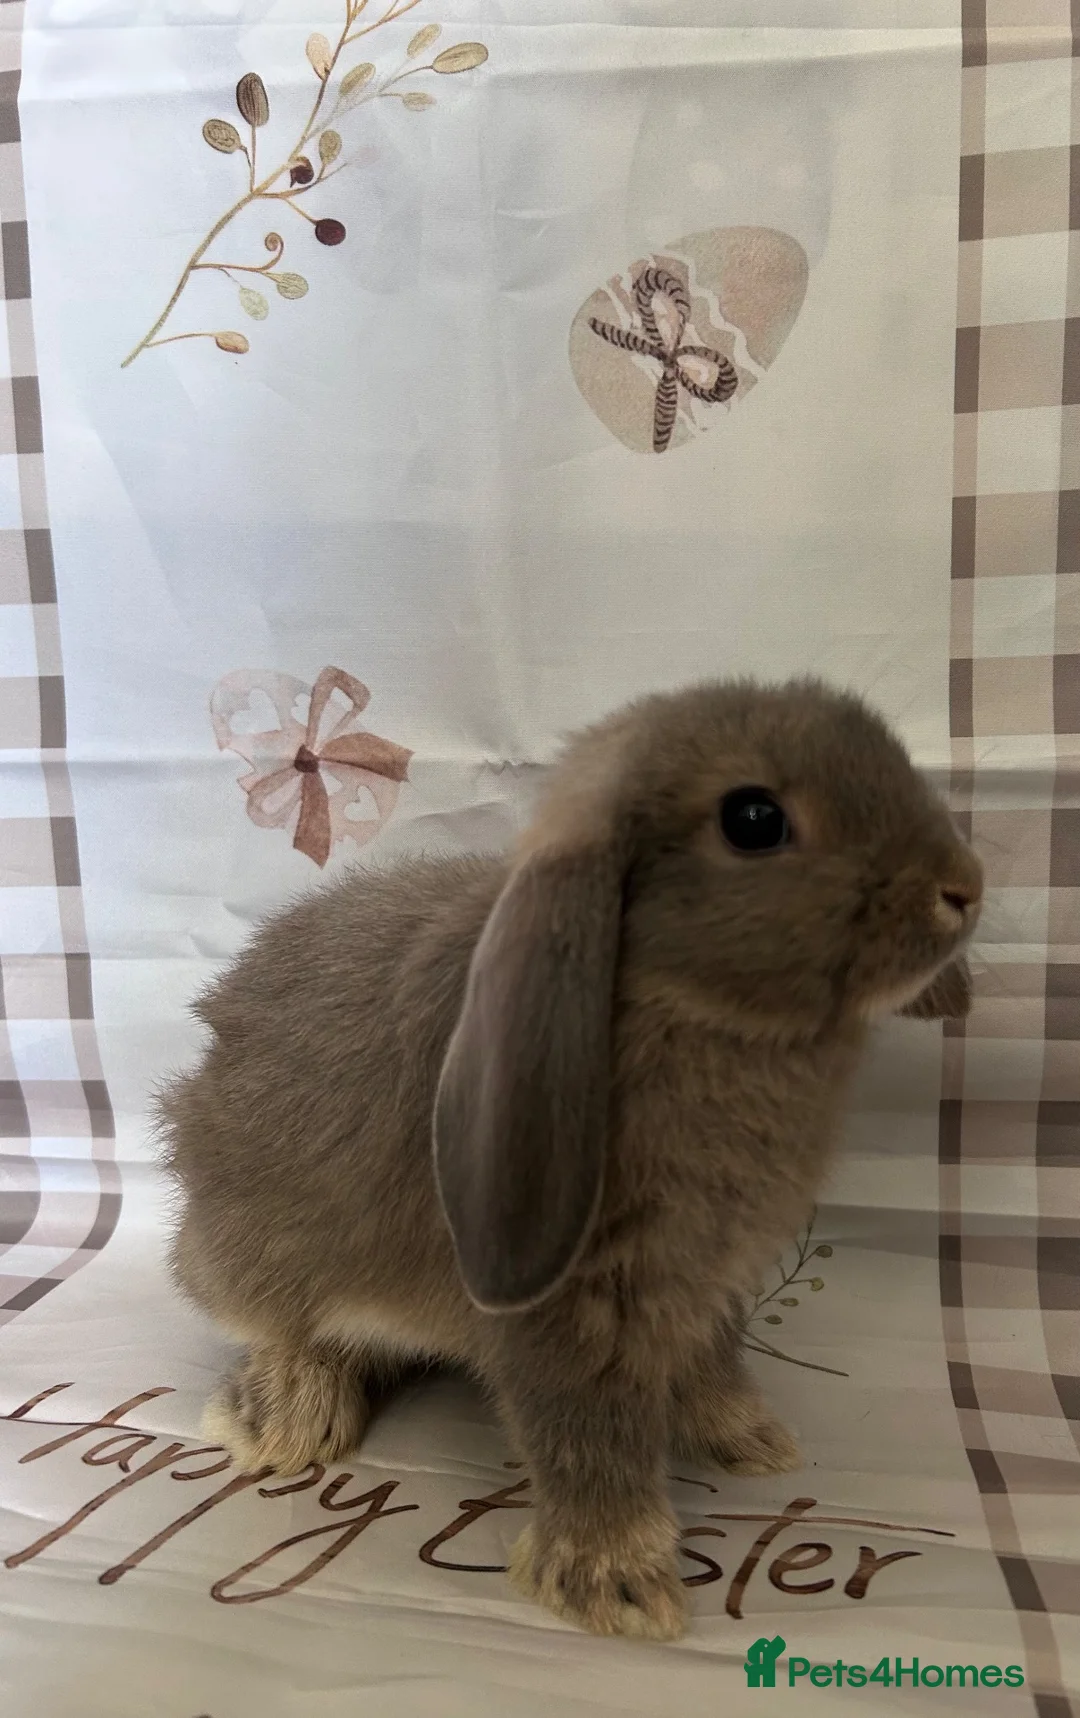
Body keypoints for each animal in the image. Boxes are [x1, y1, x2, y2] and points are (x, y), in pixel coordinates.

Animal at [158, 677, 982, 1641]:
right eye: (753, 818)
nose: (964, 888)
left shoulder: (702, 1281)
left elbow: (712, 1361)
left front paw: (749, 1442)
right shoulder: (566, 1309)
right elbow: (586, 1435)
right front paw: (620, 1590)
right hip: (249, 1250)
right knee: (282, 1329)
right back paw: (283, 1418)